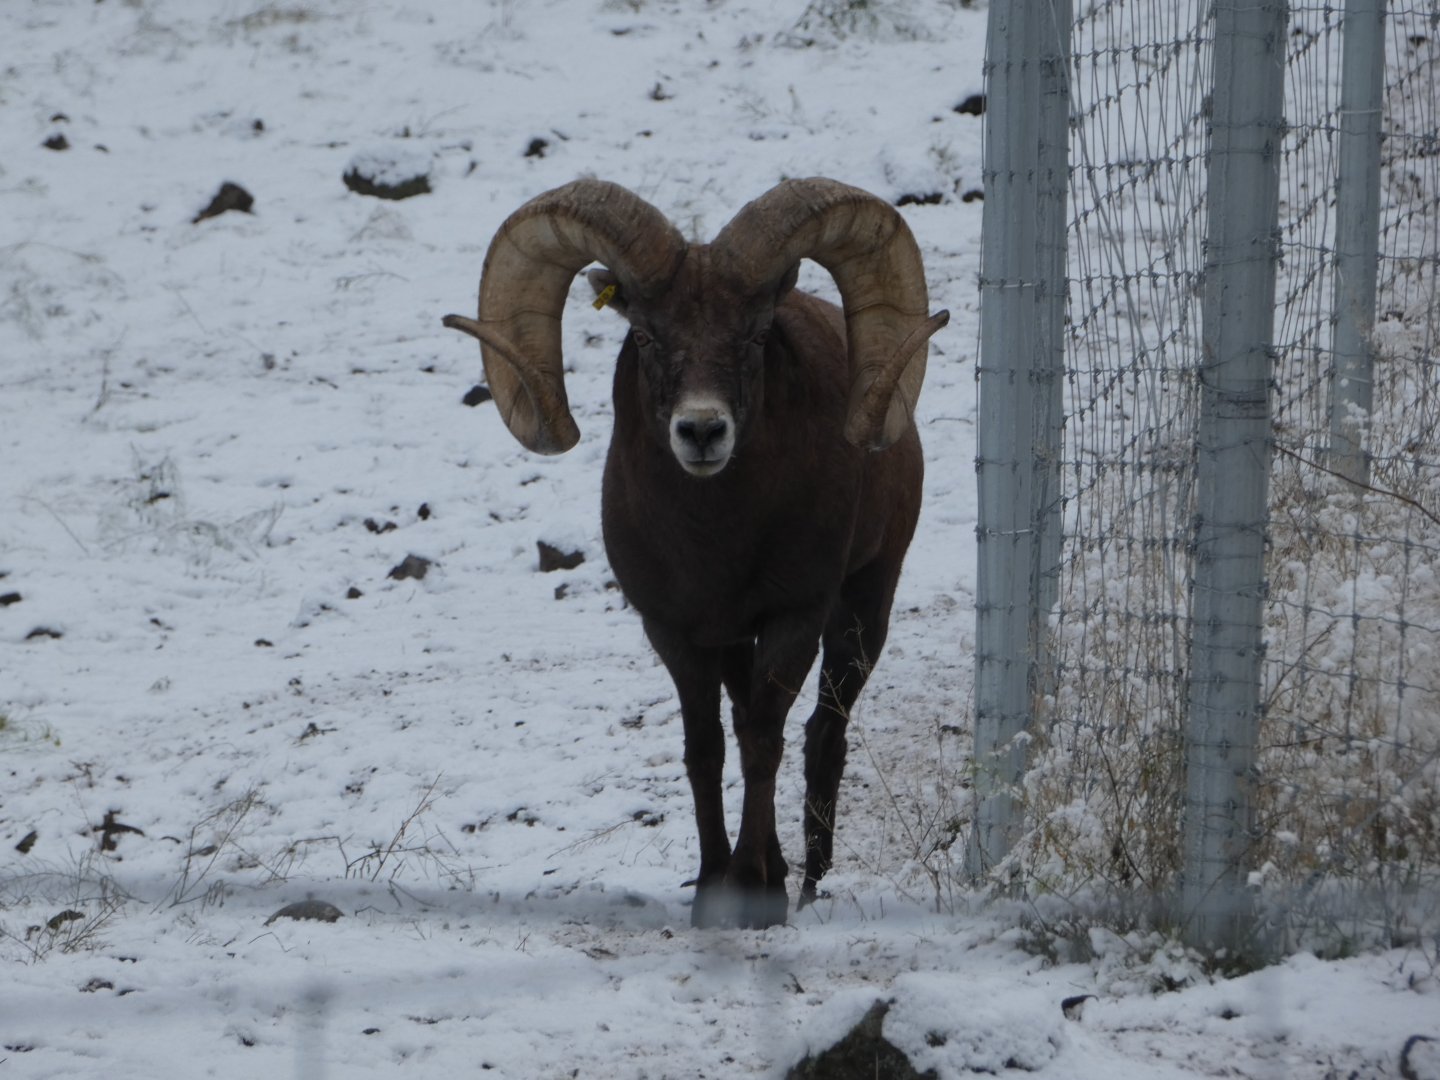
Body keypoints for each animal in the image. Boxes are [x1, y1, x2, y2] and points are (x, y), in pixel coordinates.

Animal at [444, 178, 948, 928]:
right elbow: (707, 747)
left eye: (754, 336)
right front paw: (716, 888)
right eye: (647, 334)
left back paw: (810, 882)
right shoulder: (677, 632)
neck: (716, 545)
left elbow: (764, 741)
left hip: (864, 606)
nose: (703, 431)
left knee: (823, 733)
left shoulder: (795, 618)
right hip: (740, 645)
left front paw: (754, 893)